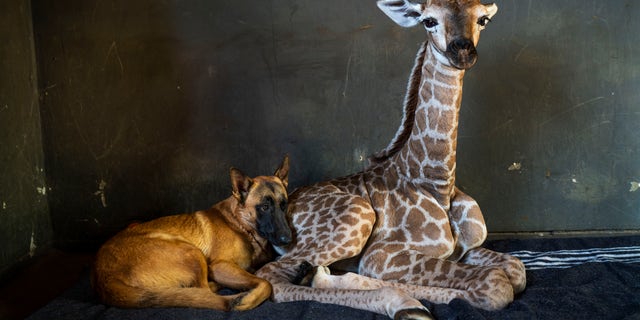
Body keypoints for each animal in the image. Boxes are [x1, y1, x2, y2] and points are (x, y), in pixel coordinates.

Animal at [91, 156, 292, 312]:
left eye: (284, 205)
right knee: (204, 291)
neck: (242, 224)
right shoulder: (220, 266)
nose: (288, 239)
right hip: (191, 252)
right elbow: (265, 283)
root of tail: (105, 280)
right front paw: (248, 299)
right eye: (264, 207)